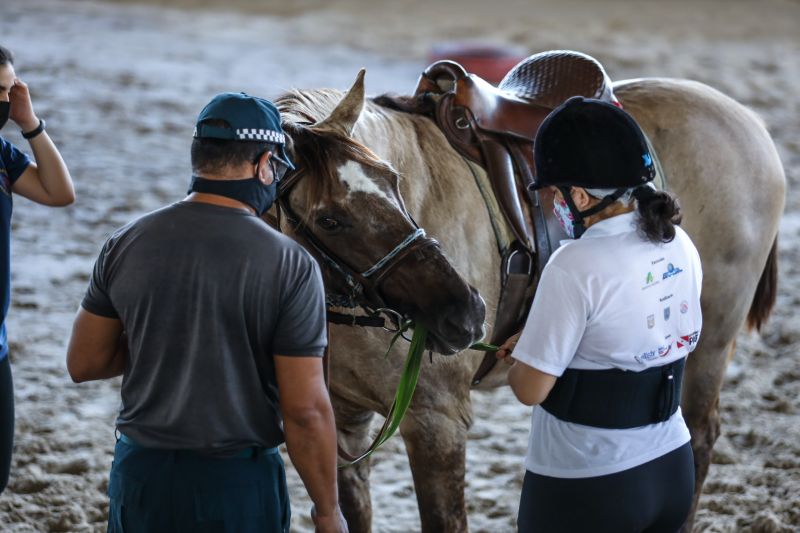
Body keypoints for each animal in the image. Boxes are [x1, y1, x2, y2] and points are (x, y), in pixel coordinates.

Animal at [272, 71, 784, 532]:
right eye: (329, 220)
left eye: (394, 181)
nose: (466, 312)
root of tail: (751, 124)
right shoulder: (342, 422)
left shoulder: (436, 420)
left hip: (712, 340)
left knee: (698, 437)